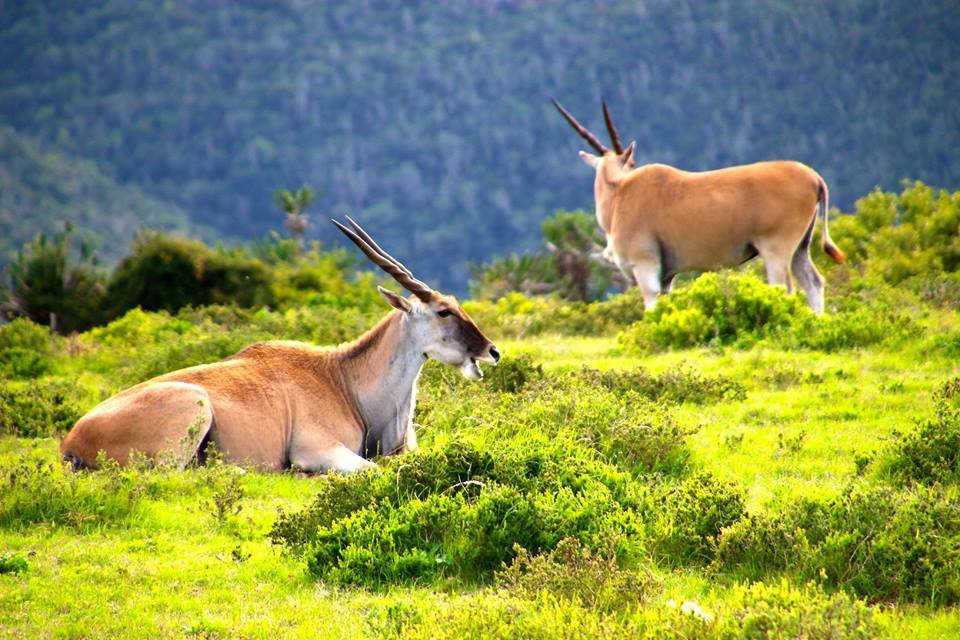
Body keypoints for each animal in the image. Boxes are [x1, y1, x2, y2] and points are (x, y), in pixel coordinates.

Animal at [60, 218, 498, 472]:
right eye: (444, 311)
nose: (492, 351)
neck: (343, 379)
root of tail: (71, 441)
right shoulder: (318, 450)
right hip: (192, 406)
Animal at [552, 98, 844, 316]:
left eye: (632, 163)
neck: (621, 192)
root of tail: (813, 178)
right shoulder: (667, 276)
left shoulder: (645, 265)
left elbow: (650, 303)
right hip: (800, 248)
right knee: (813, 283)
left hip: (776, 250)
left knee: (784, 287)